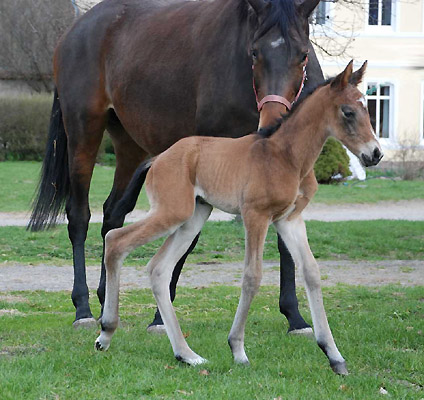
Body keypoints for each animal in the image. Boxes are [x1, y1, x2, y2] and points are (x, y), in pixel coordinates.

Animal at [96, 60, 384, 376]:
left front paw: (334, 355)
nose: (375, 154)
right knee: (116, 240)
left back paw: (187, 355)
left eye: (367, 106)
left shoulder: (290, 219)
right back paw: (106, 332)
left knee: (159, 268)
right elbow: (252, 276)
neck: (286, 156)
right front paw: (238, 350)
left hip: (195, 215)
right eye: (348, 111)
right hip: (172, 212)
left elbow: (311, 272)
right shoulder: (255, 215)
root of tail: (157, 158)